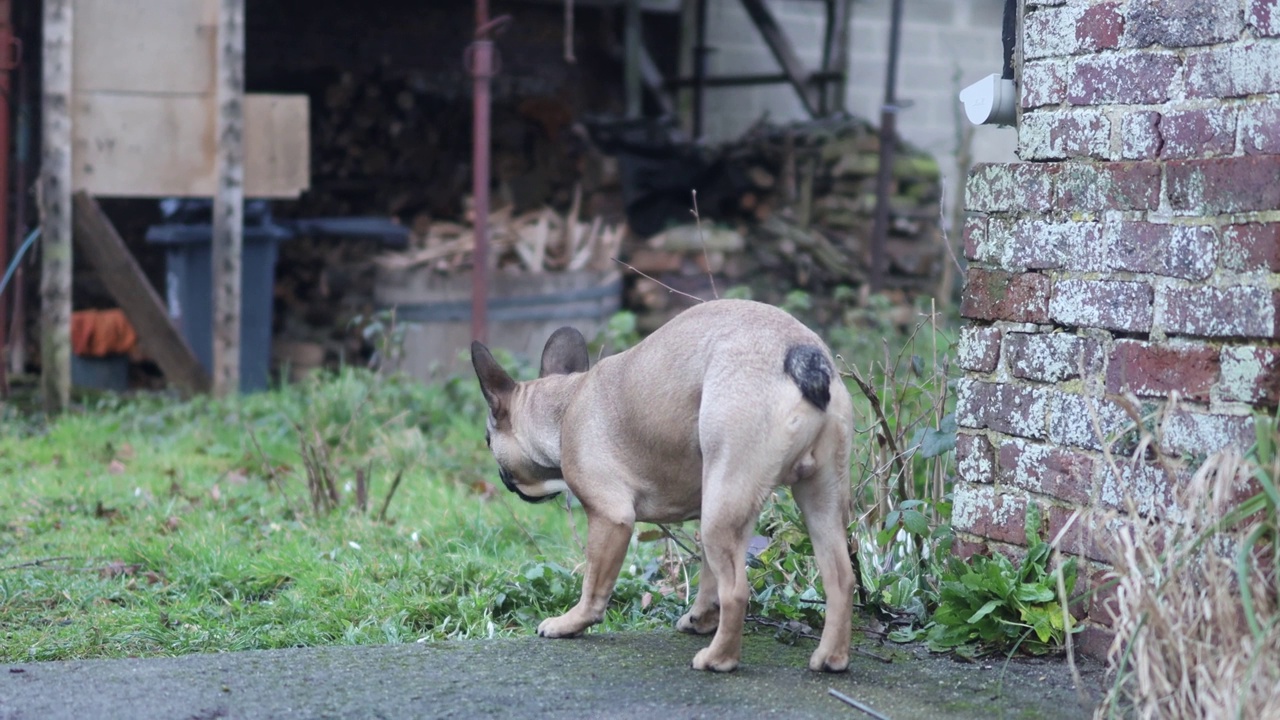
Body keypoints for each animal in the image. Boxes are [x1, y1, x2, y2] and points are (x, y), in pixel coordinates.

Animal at [473, 298, 860, 671]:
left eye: (488, 440)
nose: (502, 478)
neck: (564, 408)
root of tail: (799, 352)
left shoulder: (610, 516)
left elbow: (594, 584)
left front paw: (571, 622)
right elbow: (708, 575)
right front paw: (701, 617)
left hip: (725, 501)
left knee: (737, 590)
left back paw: (719, 659)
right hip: (815, 497)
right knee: (841, 578)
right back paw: (831, 658)